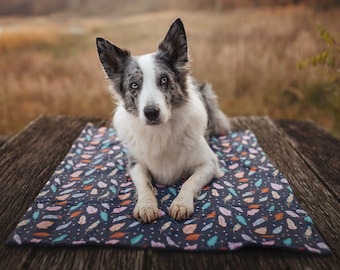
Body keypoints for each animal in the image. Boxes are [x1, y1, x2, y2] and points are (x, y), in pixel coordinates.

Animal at [96, 17, 231, 223]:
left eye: (164, 80)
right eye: (134, 85)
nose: (151, 112)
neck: (160, 131)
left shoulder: (209, 163)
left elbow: (189, 182)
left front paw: (181, 204)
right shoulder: (135, 163)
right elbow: (144, 184)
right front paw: (146, 205)